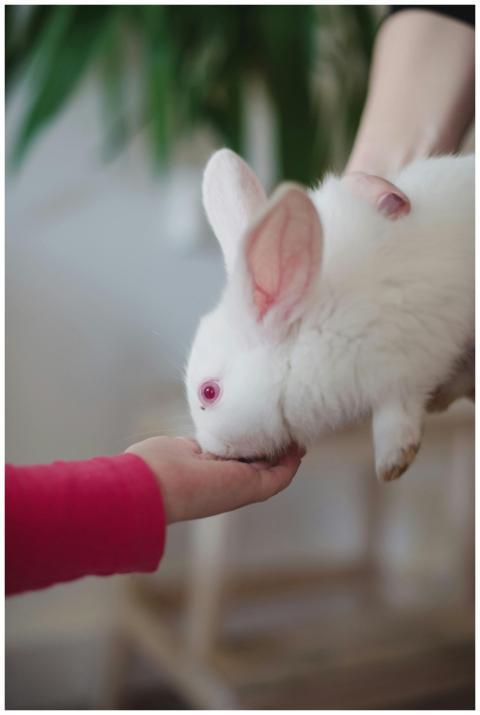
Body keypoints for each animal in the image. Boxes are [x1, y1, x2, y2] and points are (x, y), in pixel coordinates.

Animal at [185, 149, 474, 482]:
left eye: (208, 392)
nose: (210, 447)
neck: (308, 334)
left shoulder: (406, 363)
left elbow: (396, 414)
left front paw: (392, 463)